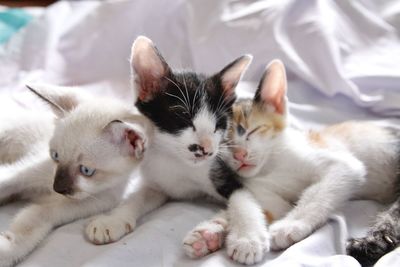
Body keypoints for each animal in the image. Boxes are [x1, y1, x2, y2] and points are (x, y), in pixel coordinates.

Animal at [0, 85, 150, 266]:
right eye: (55, 156)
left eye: (86, 170)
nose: (57, 188)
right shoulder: (22, 174)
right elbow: (6, 183)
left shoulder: (84, 204)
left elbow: (32, 219)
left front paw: (5, 249)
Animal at [86, 36, 270, 266]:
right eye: (182, 117)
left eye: (219, 123)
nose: (207, 149)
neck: (177, 163)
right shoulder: (157, 179)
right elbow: (138, 196)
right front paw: (112, 220)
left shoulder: (221, 169)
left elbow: (243, 198)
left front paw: (248, 238)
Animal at [190, 60, 400, 266]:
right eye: (223, 141)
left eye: (252, 131)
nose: (240, 155)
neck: (271, 166)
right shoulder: (254, 186)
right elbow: (259, 205)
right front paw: (212, 234)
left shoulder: (341, 164)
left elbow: (316, 194)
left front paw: (288, 227)